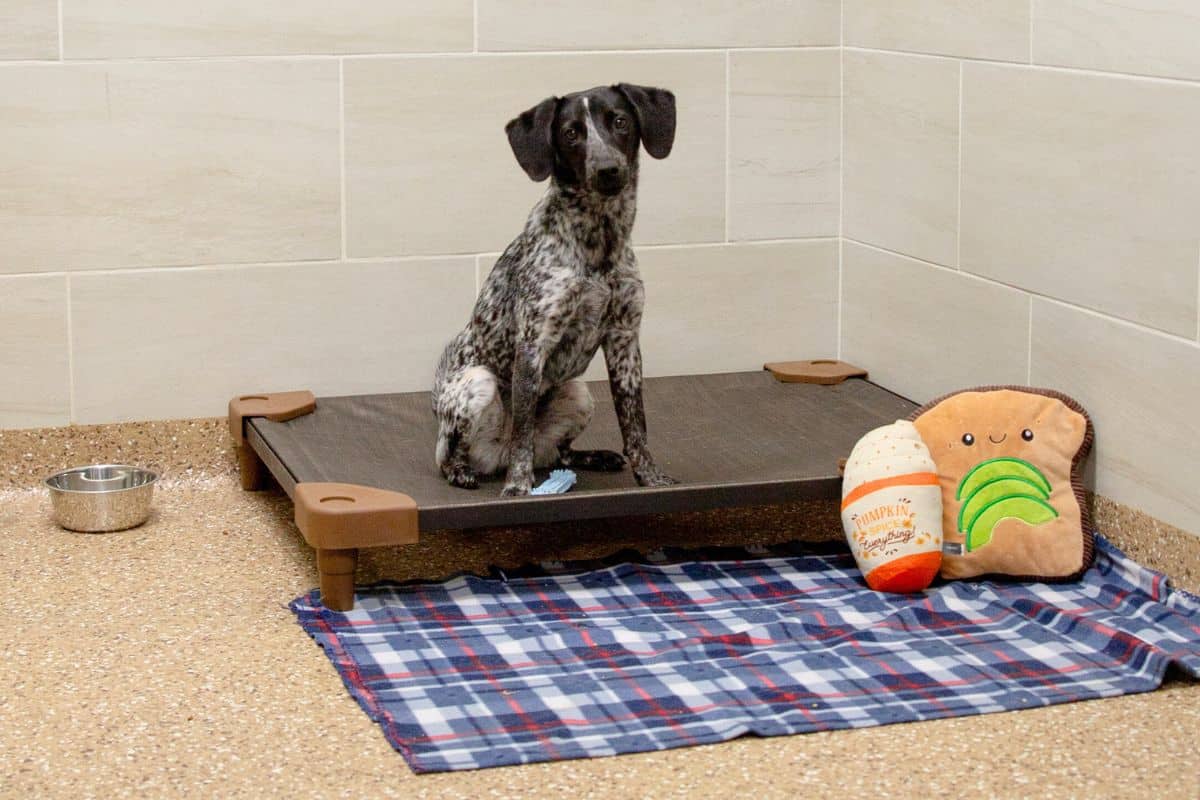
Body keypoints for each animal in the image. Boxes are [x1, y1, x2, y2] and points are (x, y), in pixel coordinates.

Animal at [432, 83, 679, 496]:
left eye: (620, 122)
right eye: (570, 133)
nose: (608, 169)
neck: (599, 239)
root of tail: (495, 457)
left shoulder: (625, 341)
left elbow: (636, 426)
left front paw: (650, 478)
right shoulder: (534, 343)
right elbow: (523, 433)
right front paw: (518, 489)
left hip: (578, 393)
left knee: (557, 453)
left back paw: (593, 457)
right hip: (477, 384)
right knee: (454, 454)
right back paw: (464, 471)